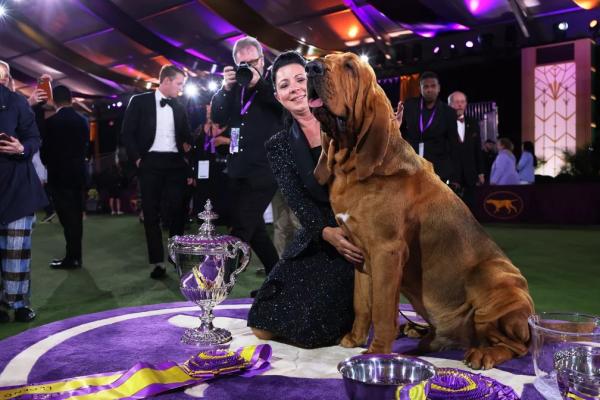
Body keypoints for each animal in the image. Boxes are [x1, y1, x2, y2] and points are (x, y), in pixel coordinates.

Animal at [308, 52, 532, 368]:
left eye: (350, 66)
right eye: (325, 59)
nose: (310, 67)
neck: (351, 166)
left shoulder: (388, 252)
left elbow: (382, 309)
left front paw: (377, 353)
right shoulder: (359, 253)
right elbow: (362, 303)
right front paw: (354, 339)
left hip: (493, 278)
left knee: (516, 346)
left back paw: (483, 352)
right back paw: (418, 330)